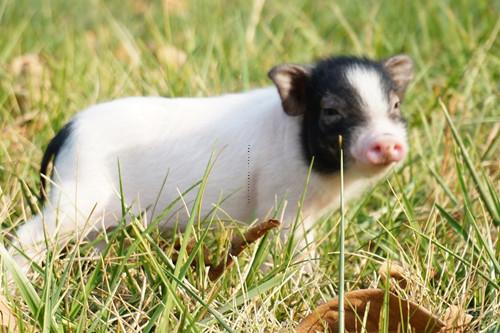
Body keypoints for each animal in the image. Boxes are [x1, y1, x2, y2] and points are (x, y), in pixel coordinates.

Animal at [11, 53, 414, 270]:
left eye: (395, 105)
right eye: (331, 111)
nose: (387, 141)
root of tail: (66, 130)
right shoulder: (280, 203)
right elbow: (289, 249)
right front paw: (298, 277)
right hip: (78, 196)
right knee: (28, 234)